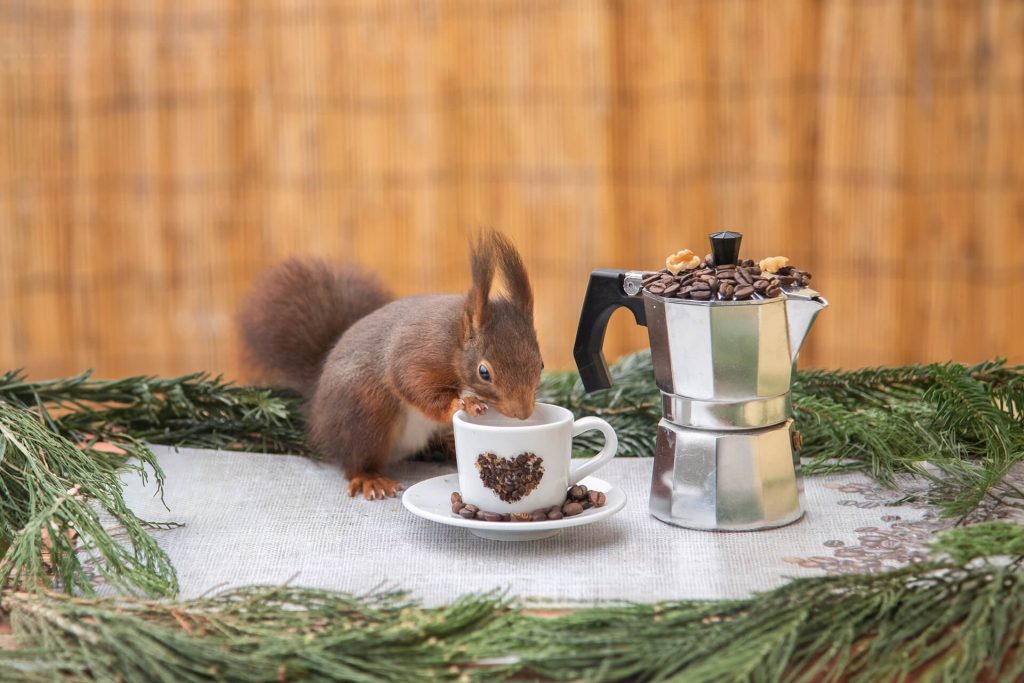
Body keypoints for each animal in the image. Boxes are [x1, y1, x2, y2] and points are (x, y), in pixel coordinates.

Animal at [238, 231, 543, 500]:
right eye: (484, 372)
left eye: (540, 364)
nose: (524, 414)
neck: (454, 341)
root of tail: (316, 405)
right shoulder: (418, 352)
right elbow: (413, 384)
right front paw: (461, 403)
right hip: (365, 410)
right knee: (354, 457)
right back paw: (369, 479)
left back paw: (447, 443)